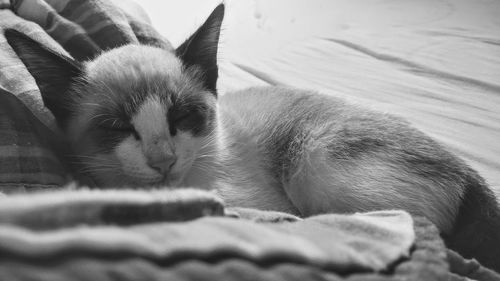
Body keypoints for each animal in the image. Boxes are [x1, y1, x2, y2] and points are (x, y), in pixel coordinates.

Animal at [4, 3, 500, 270]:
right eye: (116, 129)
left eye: (183, 117)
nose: (164, 161)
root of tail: (472, 175)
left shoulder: (256, 205)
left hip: (313, 168)